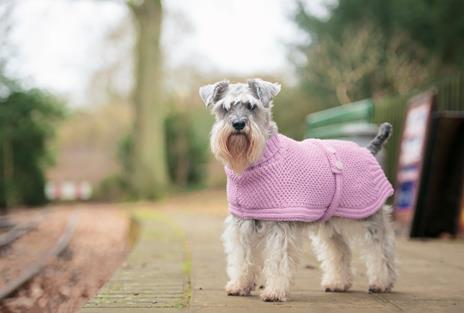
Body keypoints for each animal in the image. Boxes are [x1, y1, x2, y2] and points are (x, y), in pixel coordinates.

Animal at [198, 79, 396, 302]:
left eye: (252, 106)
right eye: (224, 108)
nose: (239, 124)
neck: (259, 160)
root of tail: (368, 150)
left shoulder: (280, 226)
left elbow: (277, 261)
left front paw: (274, 292)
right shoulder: (242, 223)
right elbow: (242, 257)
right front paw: (240, 285)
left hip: (368, 216)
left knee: (381, 249)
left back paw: (382, 282)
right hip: (330, 224)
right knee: (340, 250)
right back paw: (338, 282)